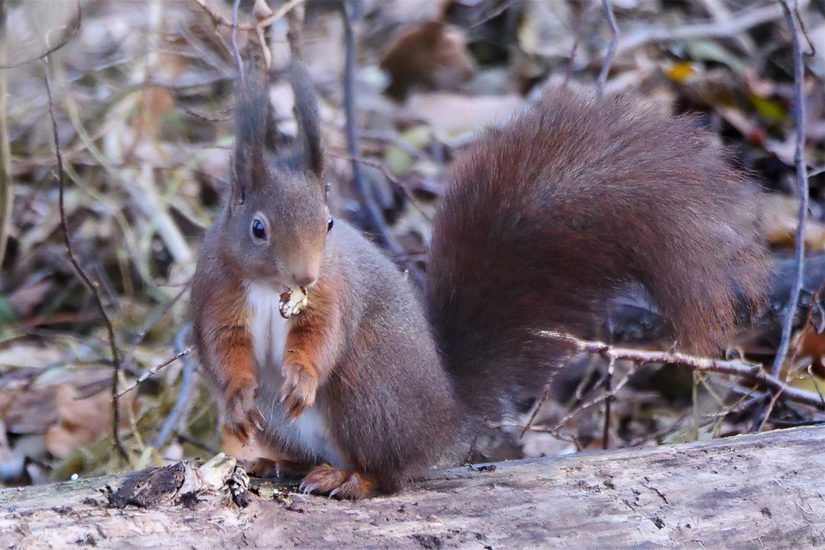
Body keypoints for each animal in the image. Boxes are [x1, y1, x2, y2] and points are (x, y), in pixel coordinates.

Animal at [190, 63, 768, 500]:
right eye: (258, 228)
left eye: (330, 223)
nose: (306, 273)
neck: (273, 290)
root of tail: (447, 413)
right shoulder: (217, 291)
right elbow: (225, 348)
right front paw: (236, 401)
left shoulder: (335, 292)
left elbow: (322, 337)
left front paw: (302, 378)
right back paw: (275, 463)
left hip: (366, 393)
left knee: (390, 473)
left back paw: (347, 478)